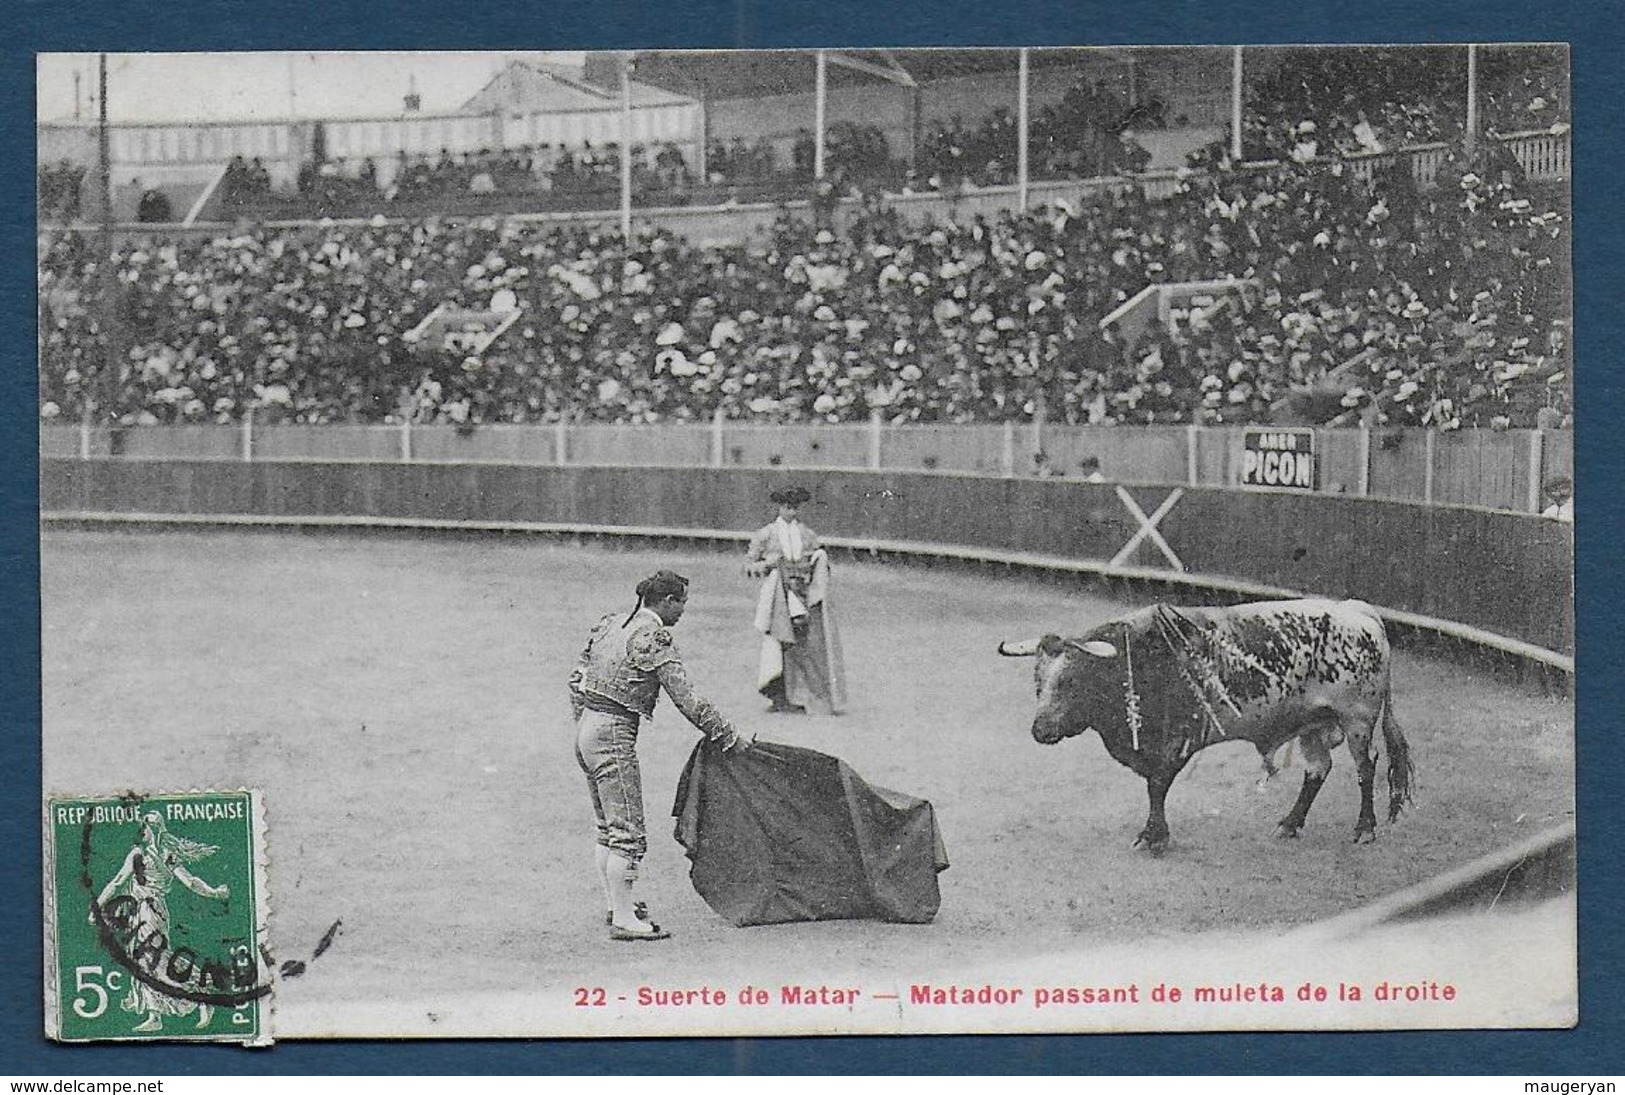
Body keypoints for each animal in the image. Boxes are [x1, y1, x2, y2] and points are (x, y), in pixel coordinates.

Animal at [994, 597, 1417, 851]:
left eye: (1072, 681)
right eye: (1037, 680)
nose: (1040, 731)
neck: (1138, 661)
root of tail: (1357, 611)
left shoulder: (1174, 741)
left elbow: (1157, 786)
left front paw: (1154, 837)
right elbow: (1153, 788)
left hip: (1357, 719)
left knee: (1366, 768)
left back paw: (1364, 829)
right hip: (1313, 723)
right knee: (1318, 769)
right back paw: (1290, 823)